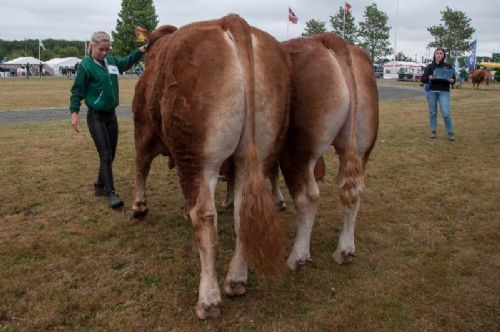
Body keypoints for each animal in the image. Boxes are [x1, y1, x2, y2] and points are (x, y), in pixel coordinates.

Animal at [131, 14, 292, 320]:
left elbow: (141, 165)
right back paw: (236, 280)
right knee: (242, 213)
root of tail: (231, 21)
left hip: (197, 157)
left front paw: (139, 206)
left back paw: (208, 299)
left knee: (204, 218)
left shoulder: (143, 129)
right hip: (256, 150)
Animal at [280, 33, 380, 270]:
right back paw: (345, 250)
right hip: (361, 148)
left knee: (307, 197)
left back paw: (297, 257)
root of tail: (328, 39)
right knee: (354, 192)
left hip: (296, 152)